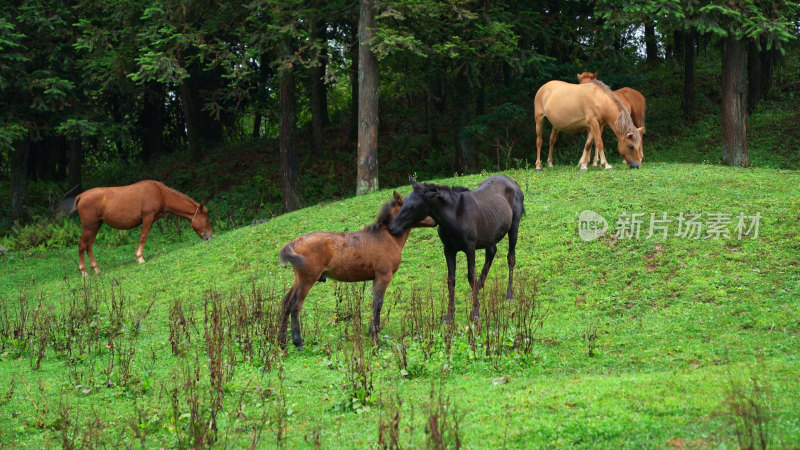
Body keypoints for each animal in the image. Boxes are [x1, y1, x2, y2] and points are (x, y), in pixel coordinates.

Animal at [70, 181, 212, 276]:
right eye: (206, 219)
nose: (210, 236)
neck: (160, 193)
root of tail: (81, 196)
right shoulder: (148, 217)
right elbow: (143, 237)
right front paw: (140, 257)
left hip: (96, 225)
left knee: (88, 245)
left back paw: (96, 268)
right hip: (89, 226)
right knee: (82, 244)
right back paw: (83, 271)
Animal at [278, 192, 434, 350]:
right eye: (415, 205)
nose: (434, 220)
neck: (388, 237)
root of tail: (295, 241)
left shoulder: (375, 278)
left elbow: (374, 303)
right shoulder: (383, 275)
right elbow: (377, 304)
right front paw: (375, 339)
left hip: (298, 278)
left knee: (285, 302)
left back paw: (282, 343)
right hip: (308, 278)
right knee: (295, 304)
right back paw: (298, 343)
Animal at [390, 175, 524, 324]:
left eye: (414, 207)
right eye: (403, 203)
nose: (393, 227)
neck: (451, 219)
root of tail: (513, 182)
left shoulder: (470, 247)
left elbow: (471, 277)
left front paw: (475, 313)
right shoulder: (448, 249)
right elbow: (451, 280)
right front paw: (449, 316)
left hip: (514, 226)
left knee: (510, 257)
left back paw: (509, 294)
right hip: (490, 233)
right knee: (491, 251)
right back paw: (477, 289)